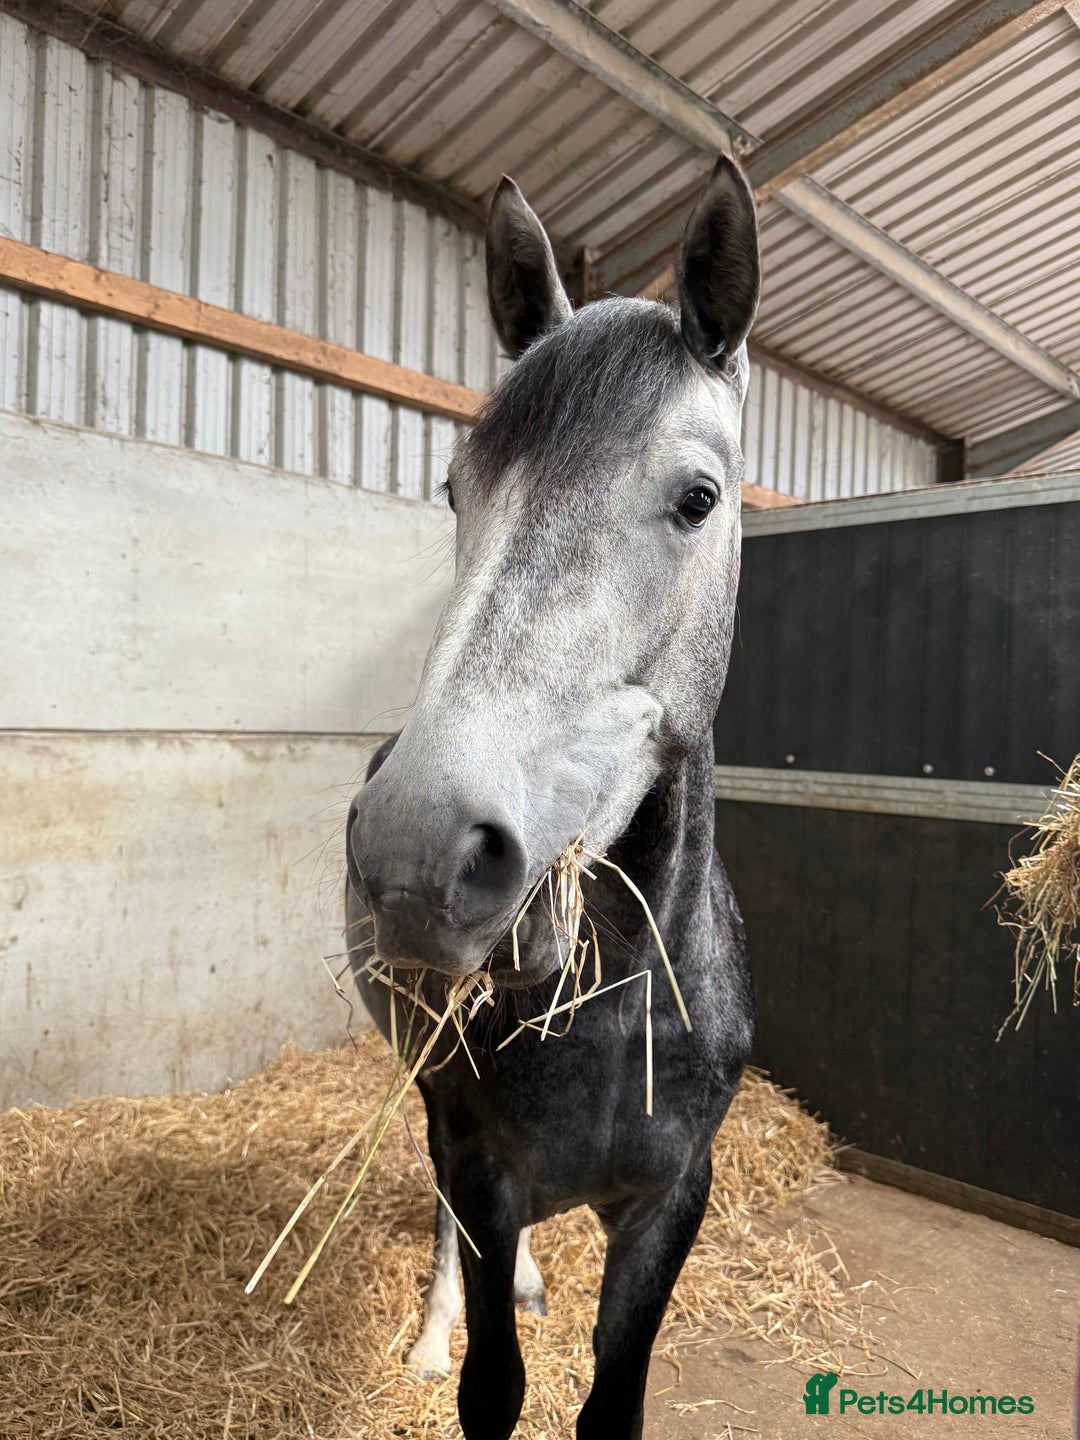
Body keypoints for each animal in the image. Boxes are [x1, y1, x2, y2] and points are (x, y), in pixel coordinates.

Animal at [345, 154, 759, 1440]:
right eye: (454, 489)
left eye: (697, 498)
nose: (417, 852)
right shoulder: (478, 1161)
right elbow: (492, 1385)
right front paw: (453, 1340)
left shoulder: (671, 1203)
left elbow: (609, 1400)